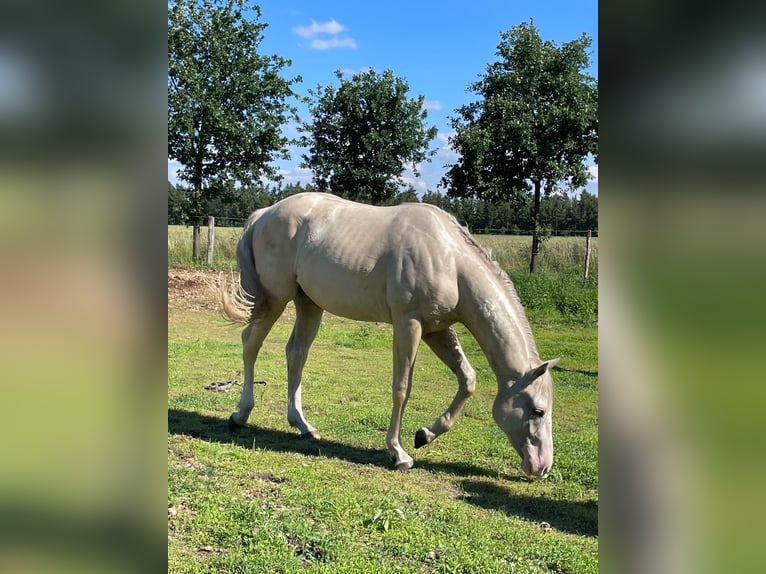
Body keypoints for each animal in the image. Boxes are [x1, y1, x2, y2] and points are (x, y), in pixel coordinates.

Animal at [219, 194, 560, 476]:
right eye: (538, 410)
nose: (542, 467)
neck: (450, 260)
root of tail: (264, 214)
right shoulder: (409, 325)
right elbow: (402, 388)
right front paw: (399, 453)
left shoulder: (437, 329)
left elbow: (468, 379)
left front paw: (425, 435)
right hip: (275, 299)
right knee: (251, 343)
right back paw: (240, 414)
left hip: (309, 304)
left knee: (296, 354)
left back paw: (303, 425)